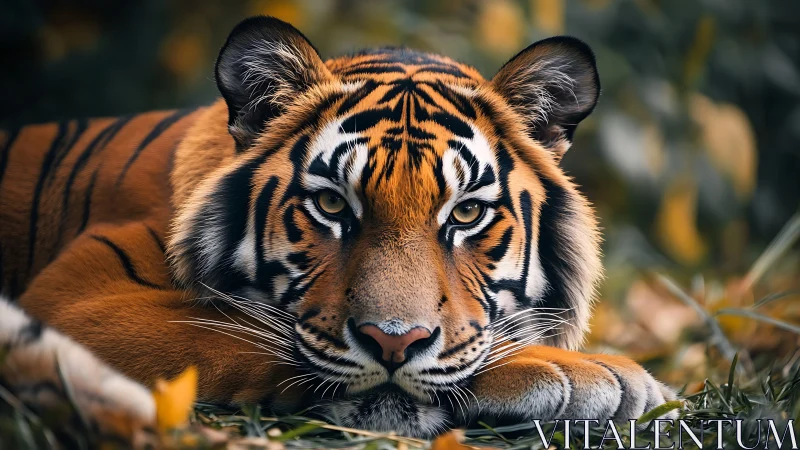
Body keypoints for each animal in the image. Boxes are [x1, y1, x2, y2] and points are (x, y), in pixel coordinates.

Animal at [0, 16, 677, 441]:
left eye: (465, 213)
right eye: (331, 204)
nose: (394, 343)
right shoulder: (82, 296)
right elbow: (235, 331)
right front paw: (590, 373)